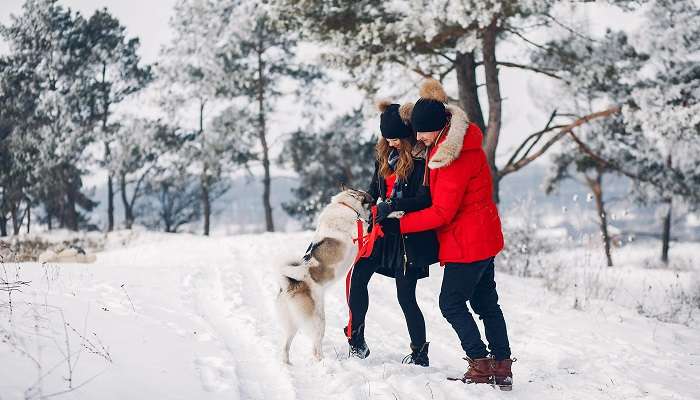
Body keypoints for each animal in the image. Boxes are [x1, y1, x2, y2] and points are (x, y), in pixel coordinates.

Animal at [274, 188, 374, 362]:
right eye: (369, 199)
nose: (375, 197)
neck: (345, 205)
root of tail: (291, 284)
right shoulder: (361, 231)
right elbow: (376, 221)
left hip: (293, 323)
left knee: (286, 347)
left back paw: (288, 364)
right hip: (319, 320)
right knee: (316, 346)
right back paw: (322, 361)